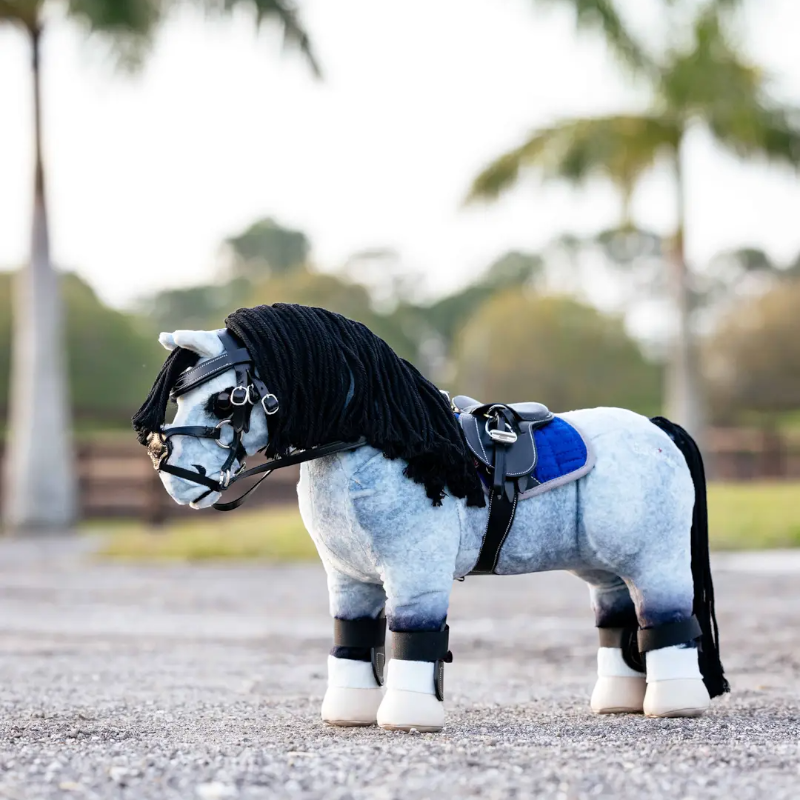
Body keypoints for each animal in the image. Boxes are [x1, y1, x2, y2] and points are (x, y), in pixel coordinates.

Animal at [133, 303, 727, 733]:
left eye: (224, 401)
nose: (175, 476)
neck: (381, 442)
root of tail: (656, 428)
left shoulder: (415, 574)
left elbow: (411, 637)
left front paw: (407, 719)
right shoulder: (348, 579)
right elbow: (353, 637)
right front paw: (350, 713)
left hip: (656, 559)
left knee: (666, 620)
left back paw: (674, 704)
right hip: (604, 567)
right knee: (618, 619)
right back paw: (618, 703)